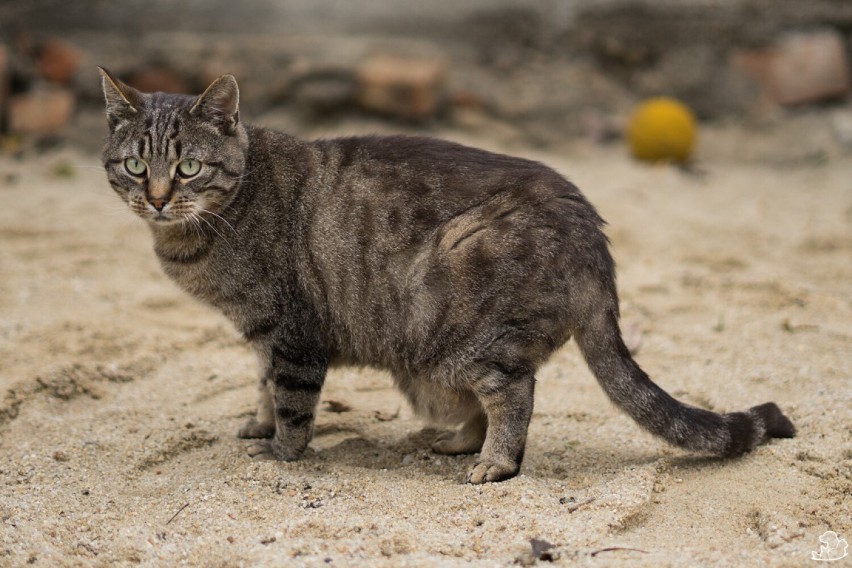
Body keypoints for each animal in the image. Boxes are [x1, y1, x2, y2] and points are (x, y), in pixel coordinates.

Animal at [100, 67, 800, 484]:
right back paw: (456, 442)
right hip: (429, 363)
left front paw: (280, 452)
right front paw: (259, 423)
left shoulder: (291, 331)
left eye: (188, 168)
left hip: (468, 329)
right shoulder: (260, 335)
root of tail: (593, 239)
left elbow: (293, 402)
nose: (157, 198)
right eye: (135, 165)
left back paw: (493, 464)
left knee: (513, 395)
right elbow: (263, 386)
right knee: (478, 406)